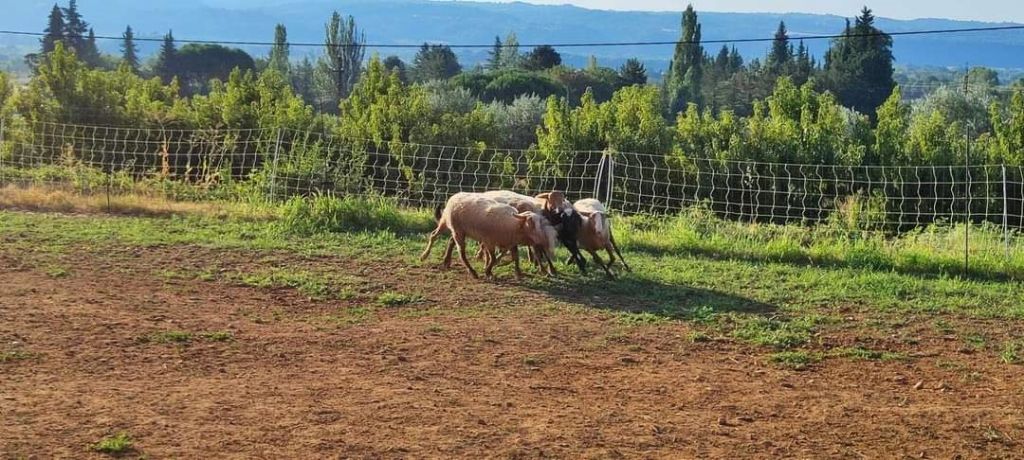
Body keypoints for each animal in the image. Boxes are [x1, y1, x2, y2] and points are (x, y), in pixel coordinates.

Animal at [419, 191, 557, 278]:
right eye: (531, 223)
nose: (543, 239)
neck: (514, 224)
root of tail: (455, 196)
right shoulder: (489, 241)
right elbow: (494, 258)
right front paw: (488, 271)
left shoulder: (510, 243)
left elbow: (515, 257)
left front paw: (517, 273)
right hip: (454, 228)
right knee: (455, 249)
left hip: (458, 230)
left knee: (450, 241)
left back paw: (446, 262)